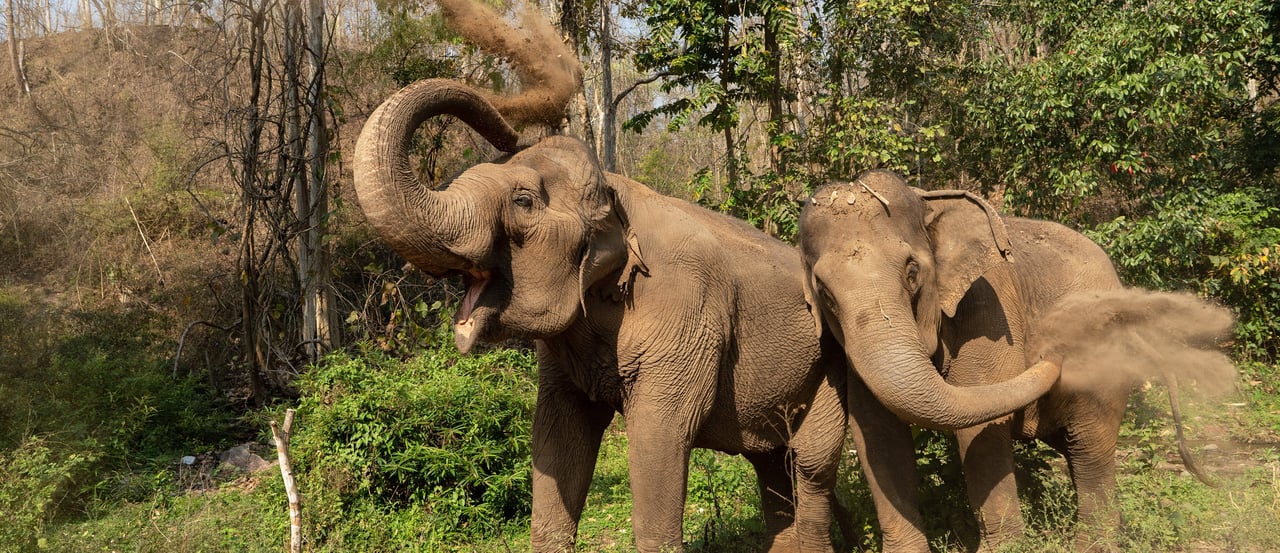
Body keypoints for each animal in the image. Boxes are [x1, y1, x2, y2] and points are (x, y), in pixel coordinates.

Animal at [793, 170, 1233, 550]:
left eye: (911, 271)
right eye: (823, 290)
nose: (1052, 343)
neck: (928, 203)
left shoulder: (990, 302)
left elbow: (981, 424)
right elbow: (877, 434)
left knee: (1090, 446)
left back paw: (1096, 543)